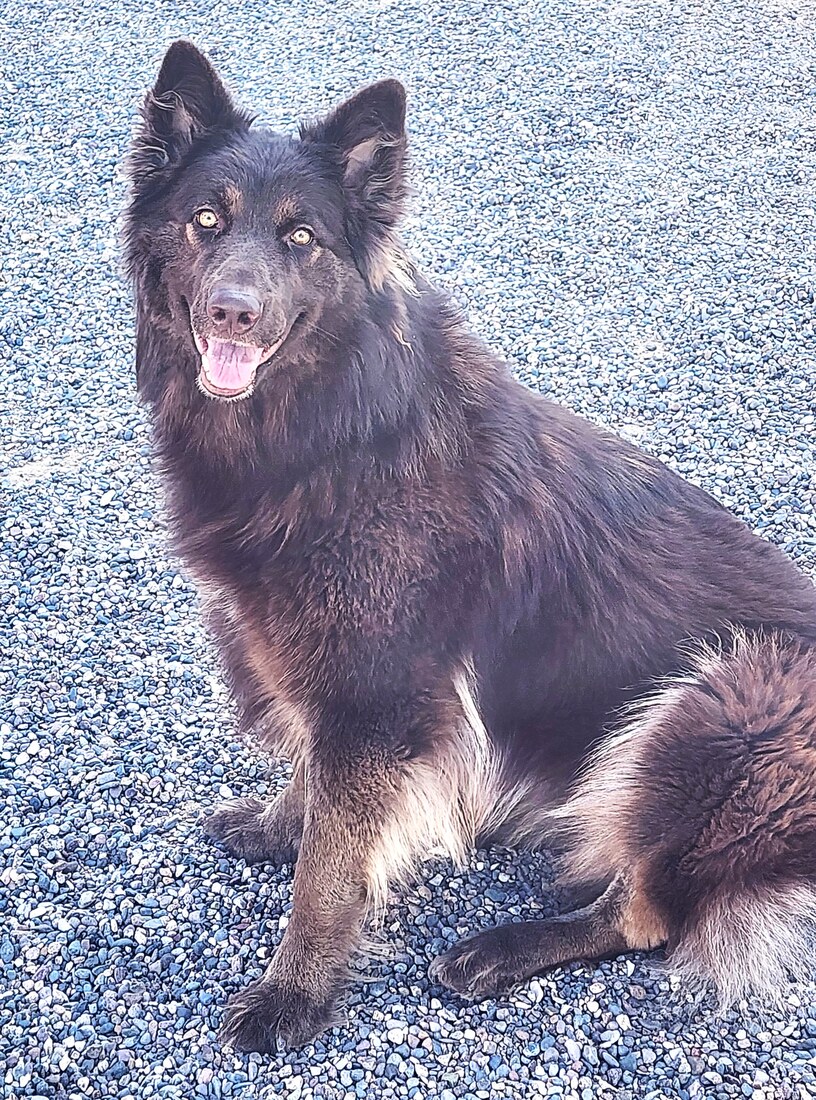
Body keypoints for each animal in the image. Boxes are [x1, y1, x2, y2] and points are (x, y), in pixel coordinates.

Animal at [124, 41, 816, 1052]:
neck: (335, 423)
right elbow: (315, 779)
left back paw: (501, 948)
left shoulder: (375, 698)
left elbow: (330, 869)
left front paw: (294, 994)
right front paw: (281, 821)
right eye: (206, 221)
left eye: (301, 239)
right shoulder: (332, 680)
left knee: (646, 912)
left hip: (728, 699)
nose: (231, 313)